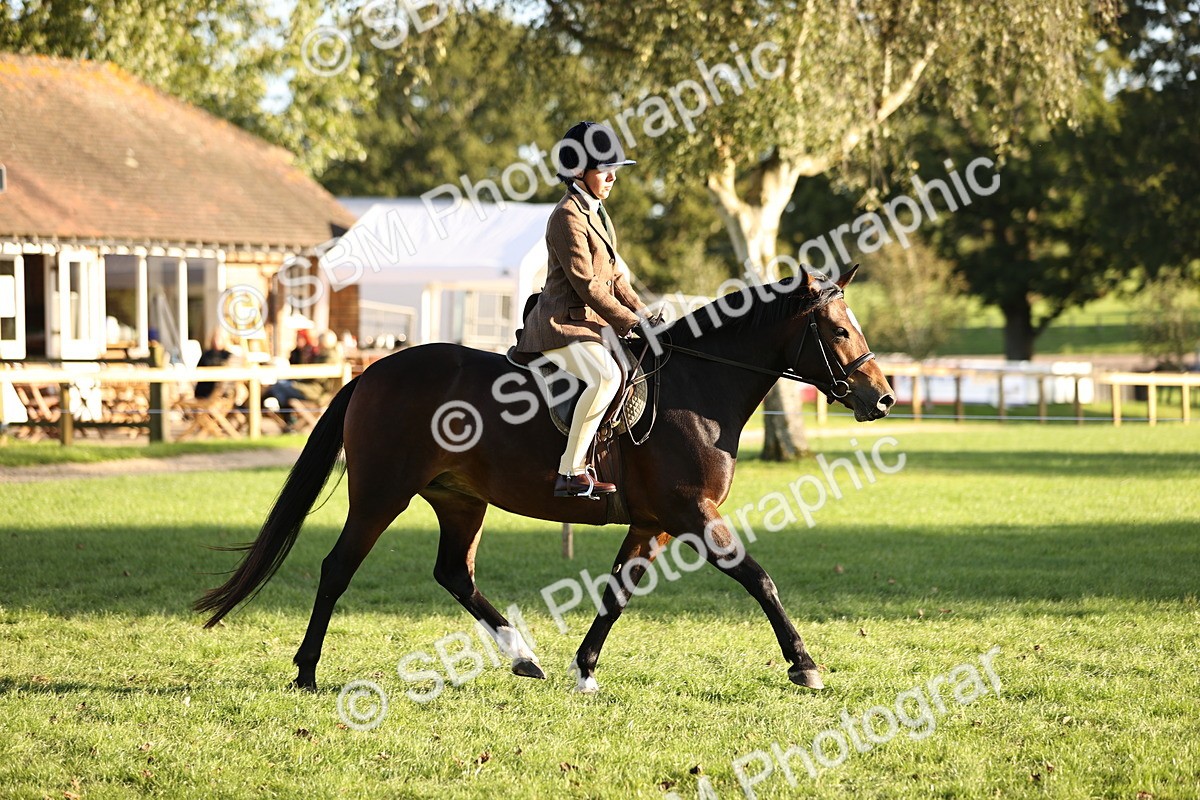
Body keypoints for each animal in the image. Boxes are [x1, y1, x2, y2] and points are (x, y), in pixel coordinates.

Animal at [194, 266, 895, 693]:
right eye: (838, 330)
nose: (883, 398)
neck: (698, 388)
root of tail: (371, 372)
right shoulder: (693, 514)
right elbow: (759, 578)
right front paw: (805, 666)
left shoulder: (653, 523)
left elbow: (617, 593)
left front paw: (584, 670)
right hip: (380, 495)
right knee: (338, 568)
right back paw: (307, 672)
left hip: (460, 500)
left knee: (454, 573)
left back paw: (522, 656)